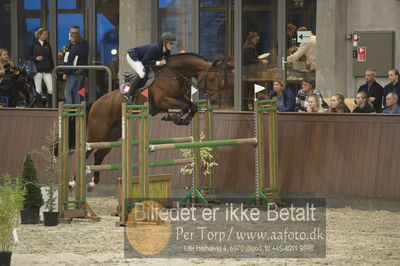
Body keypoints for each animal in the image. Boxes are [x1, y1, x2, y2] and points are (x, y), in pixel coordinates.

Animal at [69, 53, 228, 190]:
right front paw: (174, 117)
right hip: (98, 133)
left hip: (113, 135)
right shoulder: (163, 100)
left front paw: (183, 119)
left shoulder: (179, 97)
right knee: (85, 151)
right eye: (212, 79)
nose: (214, 100)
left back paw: (93, 183)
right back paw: (73, 181)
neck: (174, 73)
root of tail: (96, 102)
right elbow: (184, 106)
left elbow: (192, 106)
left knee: (99, 154)